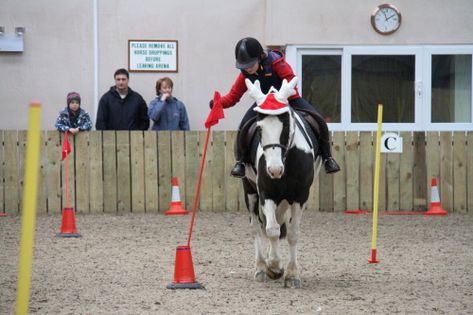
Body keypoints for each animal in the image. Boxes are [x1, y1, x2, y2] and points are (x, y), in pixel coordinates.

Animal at [242, 76, 322, 288]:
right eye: (259, 128)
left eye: (286, 126)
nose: (274, 170)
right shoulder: (266, 193)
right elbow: (271, 230)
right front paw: (274, 267)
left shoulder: (300, 196)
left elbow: (292, 233)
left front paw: (292, 275)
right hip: (250, 191)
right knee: (258, 227)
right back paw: (261, 268)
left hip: (285, 199)